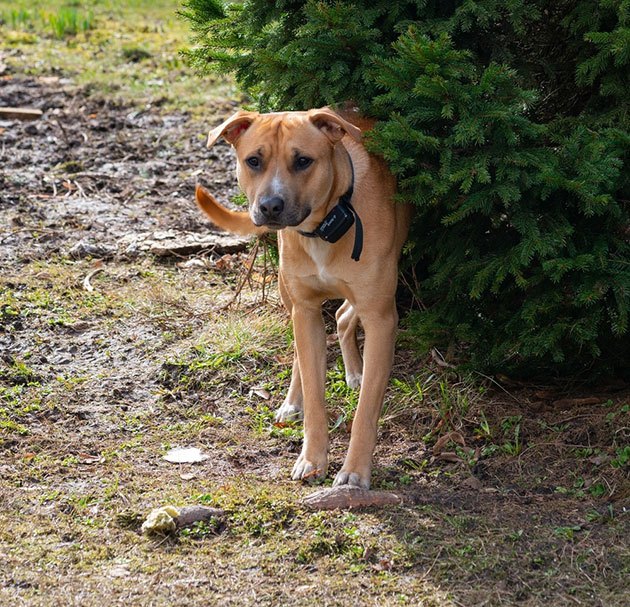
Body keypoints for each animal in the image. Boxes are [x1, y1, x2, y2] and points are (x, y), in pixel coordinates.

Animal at [199, 108, 414, 490]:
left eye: (303, 161)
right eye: (253, 160)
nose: (270, 206)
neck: (325, 227)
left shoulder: (381, 317)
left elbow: (366, 410)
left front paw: (355, 471)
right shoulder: (307, 311)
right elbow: (315, 394)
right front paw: (312, 458)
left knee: (343, 316)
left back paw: (355, 372)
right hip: (290, 298)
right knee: (306, 347)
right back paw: (293, 400)